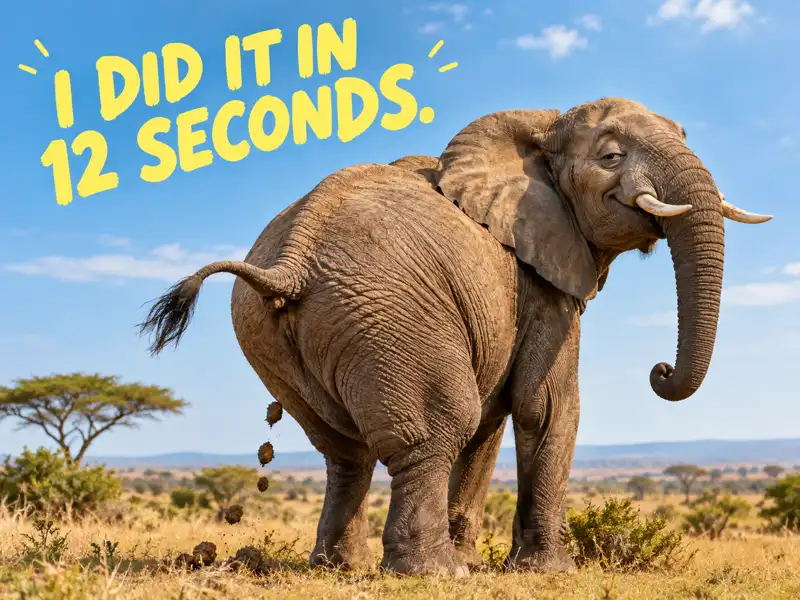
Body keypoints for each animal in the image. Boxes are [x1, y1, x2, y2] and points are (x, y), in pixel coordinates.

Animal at [139, 97, 771, 577]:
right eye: (611, 157)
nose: (660, 371)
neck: (542, 124)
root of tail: (290, 259)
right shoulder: (539, 281)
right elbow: (545, 408)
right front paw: (546, 572)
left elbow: (494, 420)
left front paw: (482, 559)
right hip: (387, 316)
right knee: (439, 426)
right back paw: (434, 573)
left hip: (269, 332)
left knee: (347, 451)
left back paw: (344, 568)